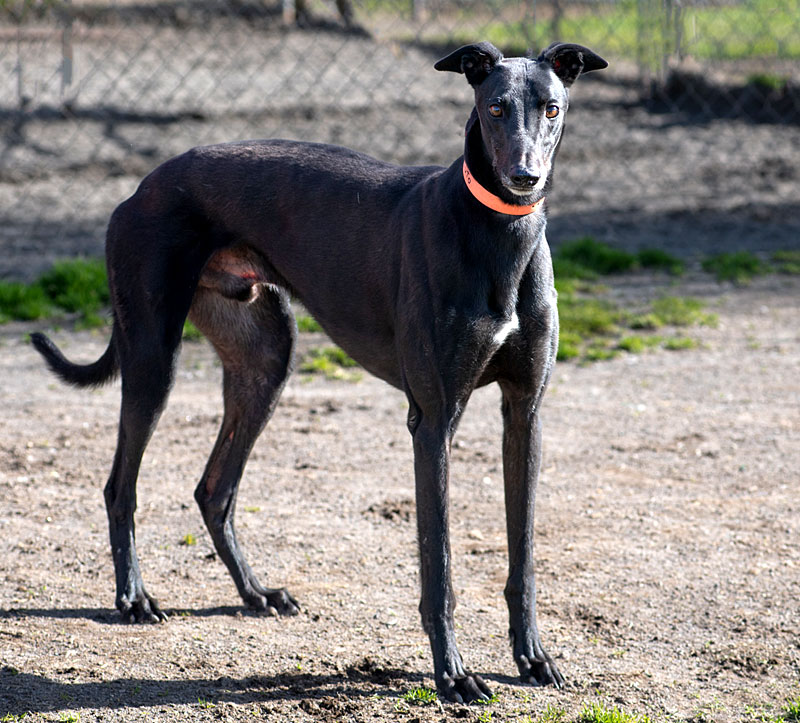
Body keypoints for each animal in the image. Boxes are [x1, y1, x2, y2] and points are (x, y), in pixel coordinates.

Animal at [32, 42, 608, 704]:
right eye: (494, 107)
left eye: (551, 108)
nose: (524, 178)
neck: (497, 235)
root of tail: (143, 185)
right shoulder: (434, 420)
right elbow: (438, 564)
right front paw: (453, 674)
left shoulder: (525, 413)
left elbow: (523, 557)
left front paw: (532, 658)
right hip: (154, 356)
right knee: (120, 487)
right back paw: (134, 599)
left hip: (265, 362)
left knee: (214, 489)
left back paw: (255, 593)